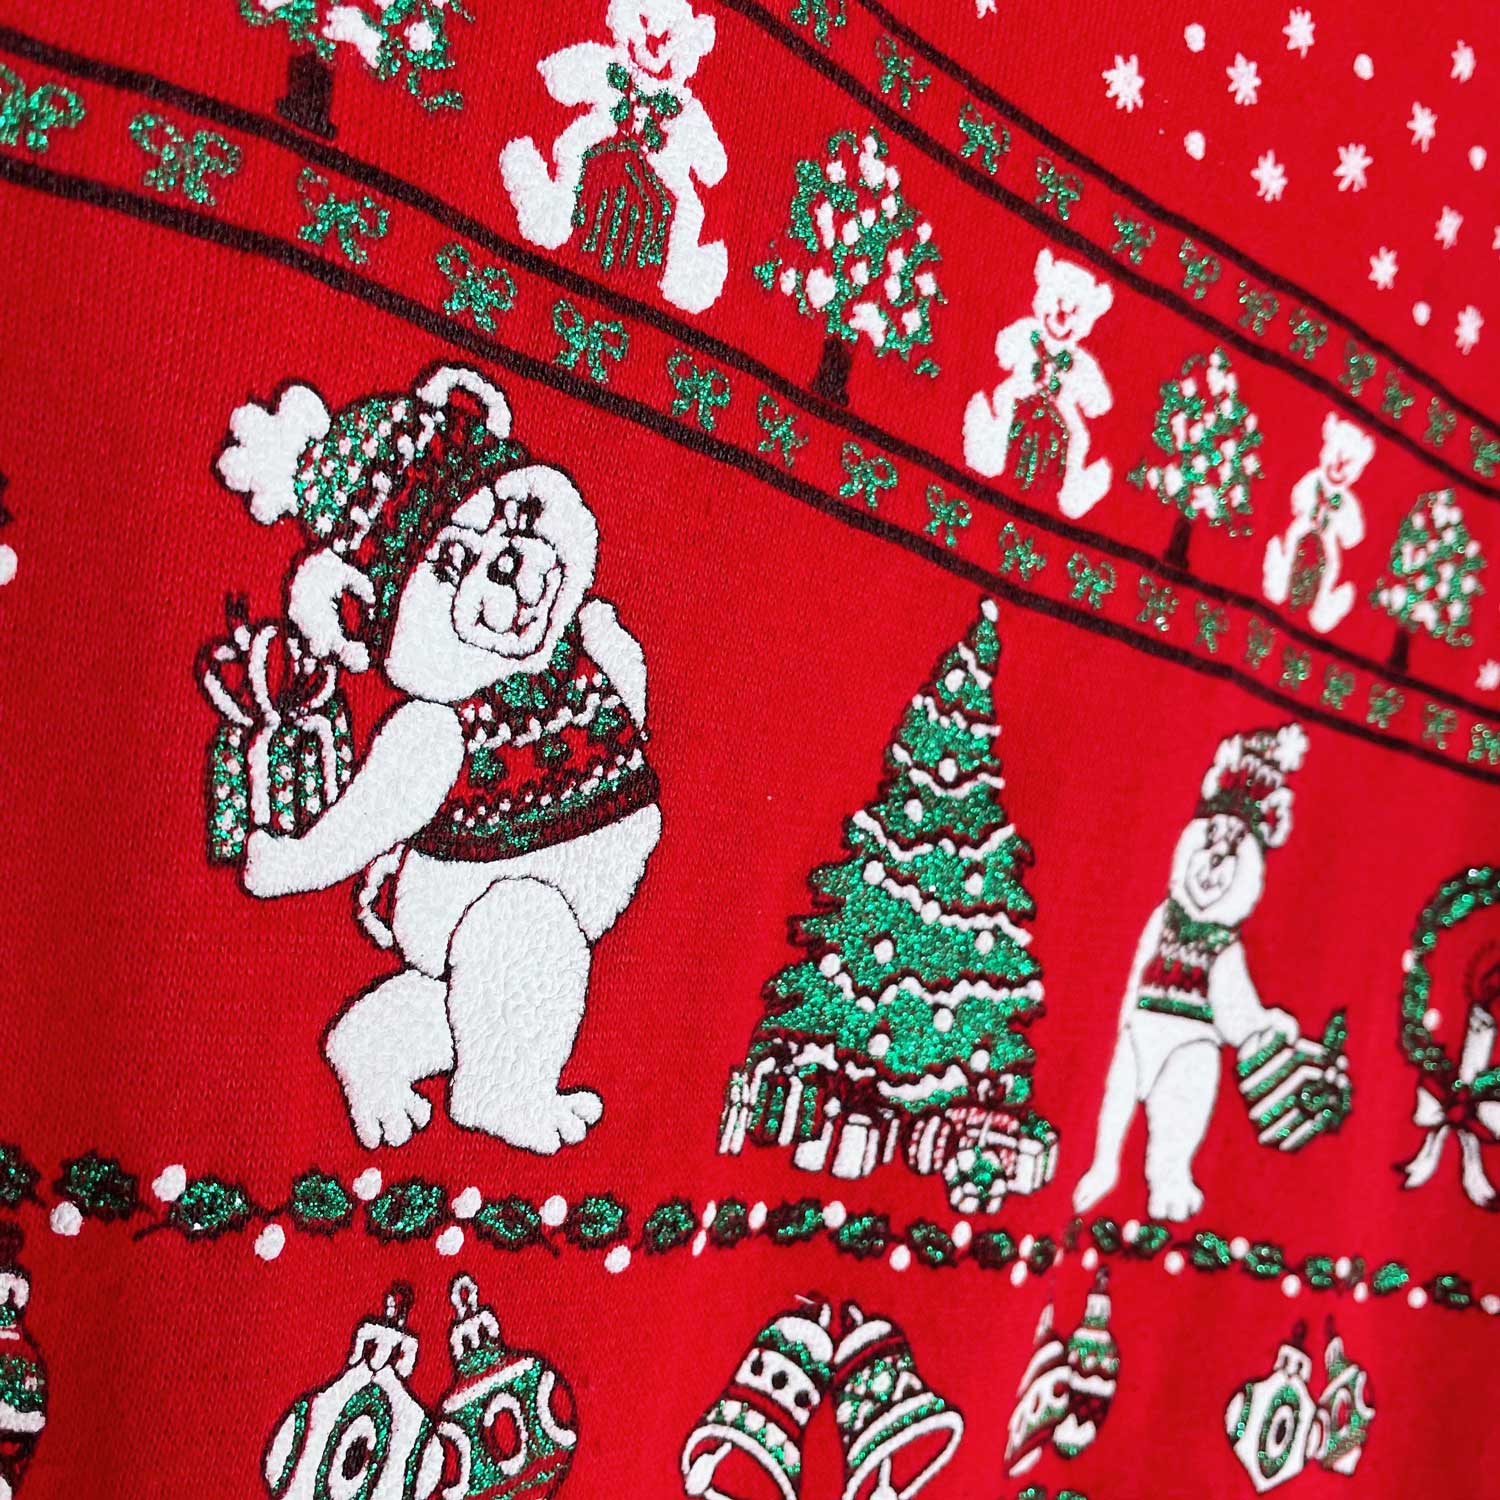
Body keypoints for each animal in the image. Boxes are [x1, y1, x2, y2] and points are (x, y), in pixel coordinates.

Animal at [211, 363, 660, 1155]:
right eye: (448, 564)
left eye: (521, 511)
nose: (506, 560)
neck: (527, 678)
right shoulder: (429, 735)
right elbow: (367, 811)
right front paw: (276, 862)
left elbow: (620, 659)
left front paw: (605, 623)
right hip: (500, 923)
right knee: (511, 960)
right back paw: (522, 1115)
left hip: (441, 969)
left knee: (430, 1016)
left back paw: (373, 1078)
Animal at [499, 0, 728, 314]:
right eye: (643, 19)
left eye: (671, 35)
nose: (653, 43)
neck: (648, 84)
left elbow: (709, 158)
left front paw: (716, 170)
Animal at [1072, 725, 1307, 1222]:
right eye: (1212, 831)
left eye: (1236, 845)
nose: (1217, 856)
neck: (1191, 923)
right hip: (1148, 1067)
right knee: (1133, 1122)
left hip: (1170, 1068)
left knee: (1156, 1133)